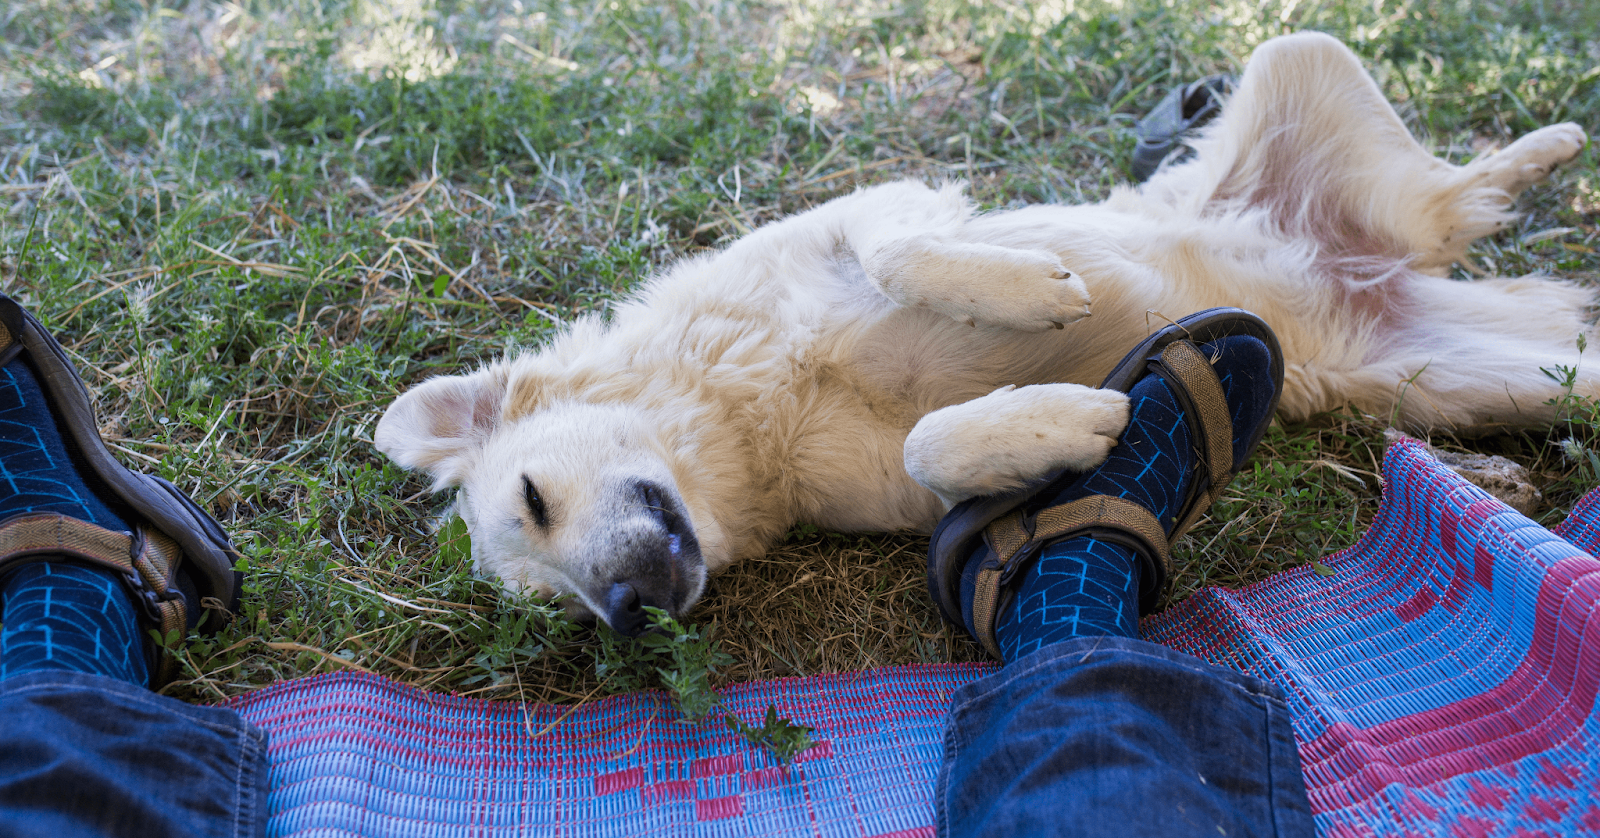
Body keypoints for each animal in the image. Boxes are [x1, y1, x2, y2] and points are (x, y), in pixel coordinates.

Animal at [371, 32, 1587, 636]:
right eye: (561, 610)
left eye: (534, 497)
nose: (626, 617)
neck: (749, 406)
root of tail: (1354, 267)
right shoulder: (902, 498)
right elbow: (931, 448)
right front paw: (1051, 425)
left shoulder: (885, 206)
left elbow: (901, 255)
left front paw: (1034, 297)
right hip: (1493, 372)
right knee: (1459, 237)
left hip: (1302, 47)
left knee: (1445, 201)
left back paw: (1544, 150)